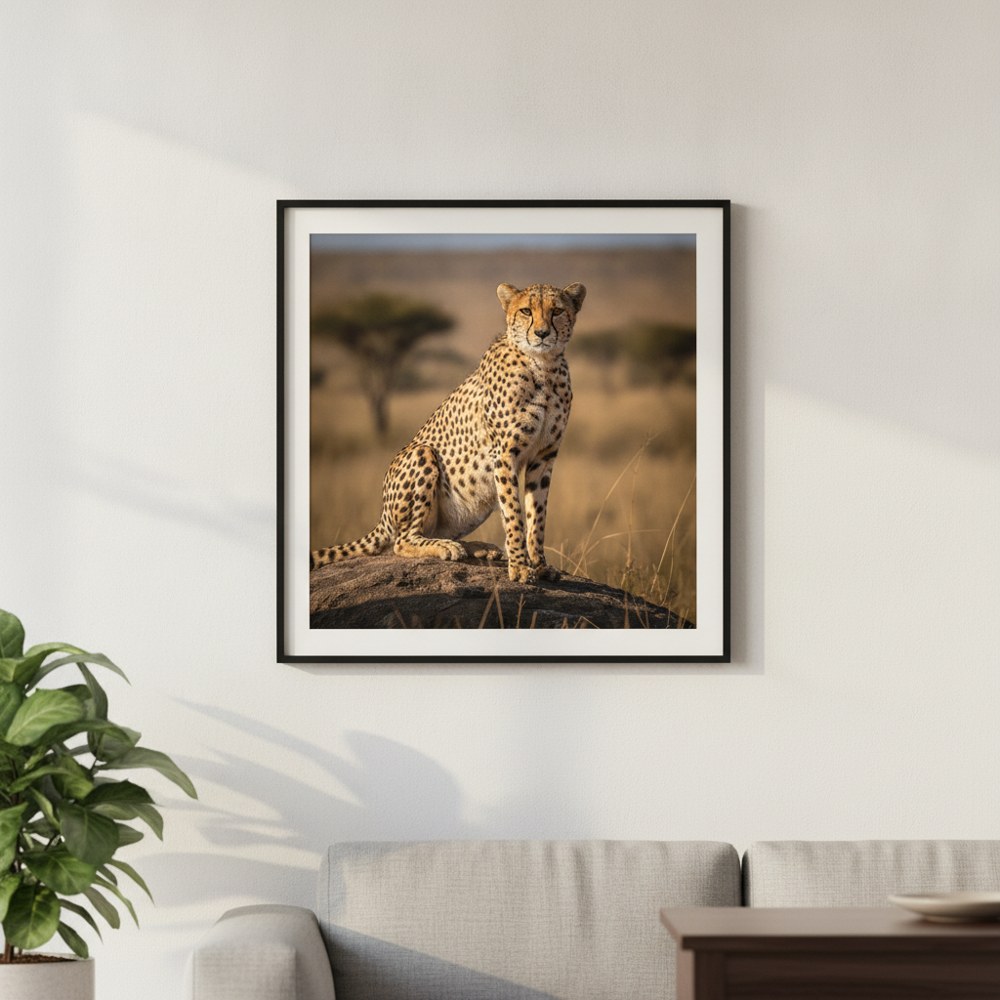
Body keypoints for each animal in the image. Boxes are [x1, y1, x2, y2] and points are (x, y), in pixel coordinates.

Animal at [310, 281, 586, 584]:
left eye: (557, 311)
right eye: (526, 311)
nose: (542, 333)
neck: (543, 365)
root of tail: (382, 517)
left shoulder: (544, 456)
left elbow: (537, 514)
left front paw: (540, 565)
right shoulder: (505, 454)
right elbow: (513, 512)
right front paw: (521, 567)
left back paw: (476, 547)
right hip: (422, 454)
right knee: (402, 541)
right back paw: (446, 547)